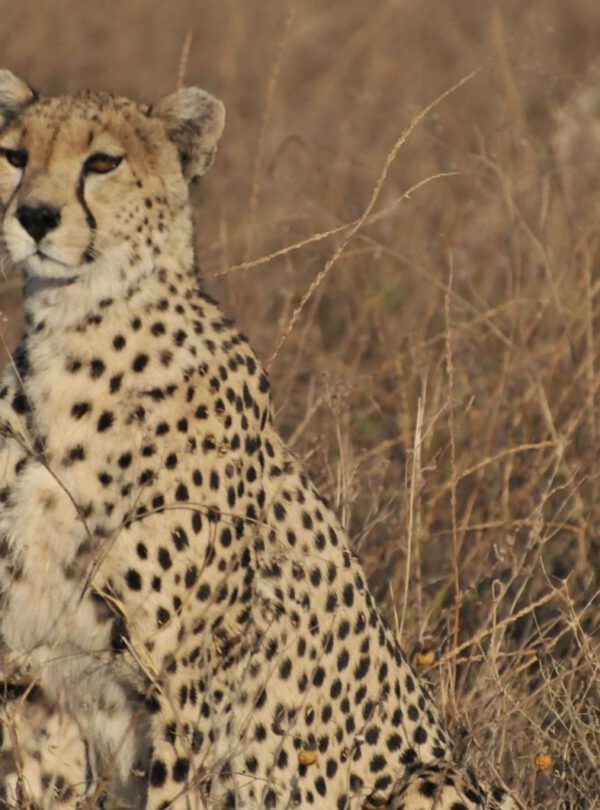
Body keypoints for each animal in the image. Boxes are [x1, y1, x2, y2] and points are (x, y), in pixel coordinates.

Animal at [0, 69, 523, 810]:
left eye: (101, 162)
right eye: (15, 155)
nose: (35, 218)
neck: (75, 335)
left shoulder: (181, 688)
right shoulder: (34, 679)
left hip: (430, 776)